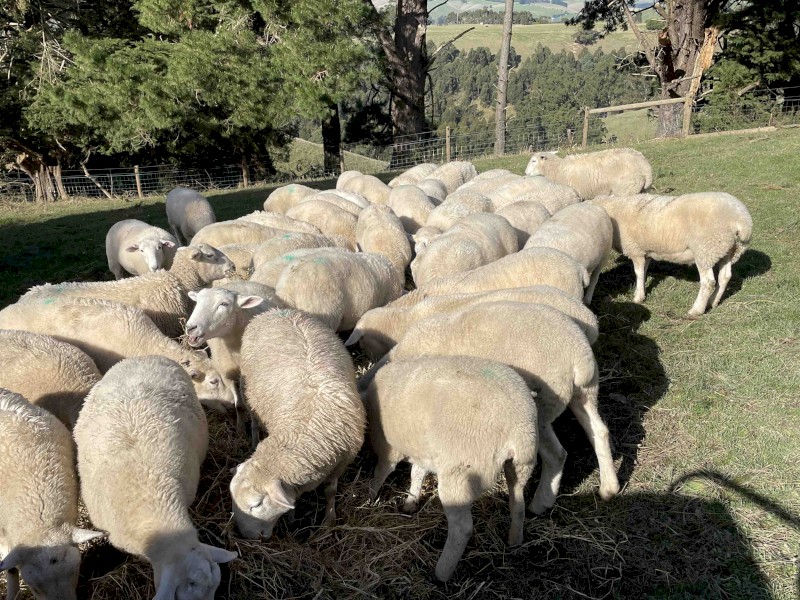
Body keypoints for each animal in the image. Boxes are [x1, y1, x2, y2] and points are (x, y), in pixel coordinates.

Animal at [231, 309, 365, 538]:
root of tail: (275, 311)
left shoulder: (343, 460)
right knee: (254, 421)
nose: (245, 536)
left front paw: (328, 521)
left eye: (256, 505)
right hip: (248, 392)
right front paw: (293, 517)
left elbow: (330, 490)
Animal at [363, 356, 538, 582]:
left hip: (461, 475)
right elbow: (416, 473)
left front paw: (369, 496)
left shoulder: (388, 447)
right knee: (518, 504)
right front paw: (411, 501)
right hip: (520, 466)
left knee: (462, 528)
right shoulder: (423, 452)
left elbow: (382, 471)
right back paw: (514, 541)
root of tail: (517, 428)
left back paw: (441, 573)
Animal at [369, 301, 619, 513]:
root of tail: (580, 355)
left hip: (543, 403)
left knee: (556, 454)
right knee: (599, 431)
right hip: (585, 392)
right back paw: (609, 488)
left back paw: (540, 503)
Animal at [525, 148, 653, 199]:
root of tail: (646, 166)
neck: (558, 169)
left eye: (534, 161)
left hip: (626, 189)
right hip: (640, 189)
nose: (525, 173)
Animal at [590, 192, 753, 316]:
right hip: (727, 250)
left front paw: (638, 297)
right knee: (725, 277)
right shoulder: (646, 252)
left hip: (705, 250)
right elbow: (644, 272)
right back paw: (712, 302)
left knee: (708, 282)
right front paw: (642, 292)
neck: (615, 210)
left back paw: (696, 310)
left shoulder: (636, 250)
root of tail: (742, 221)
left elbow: (638, 273)